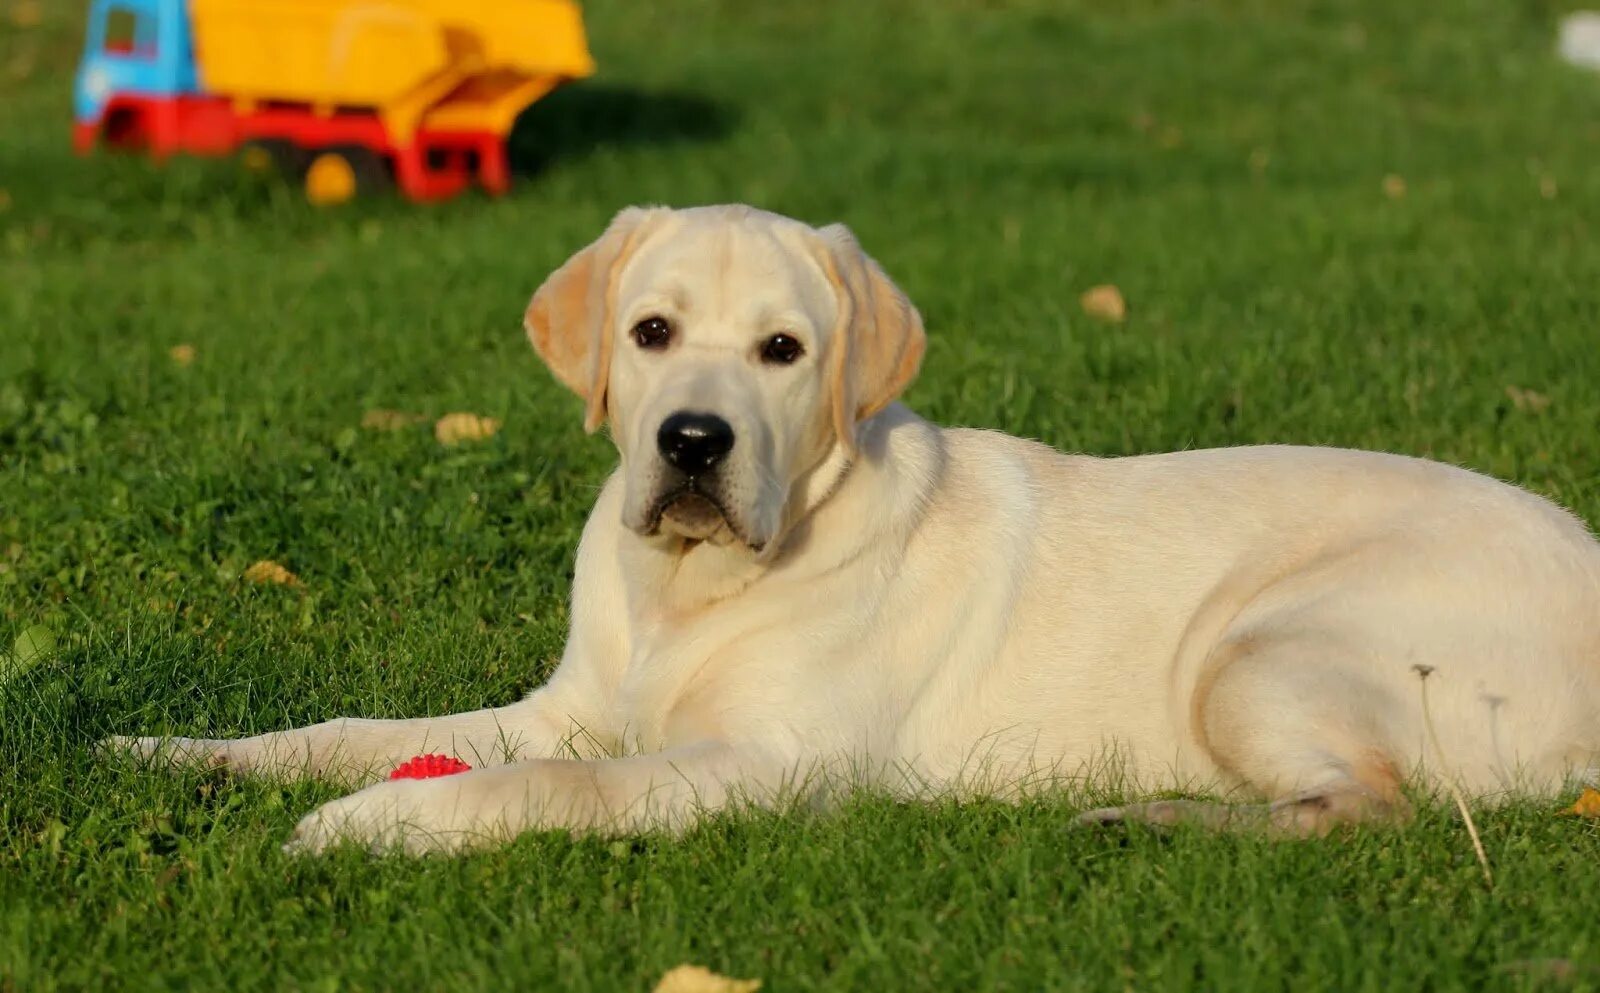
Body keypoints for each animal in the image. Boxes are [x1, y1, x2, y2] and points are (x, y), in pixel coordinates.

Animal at [109, 203, 1600, 850]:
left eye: (783, 351)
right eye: (650, 333)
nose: (692, 443)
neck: (690, 589)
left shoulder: (765, 765)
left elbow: (548, 790)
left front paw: (374, 826)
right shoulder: (567, 707)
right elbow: (358, 728)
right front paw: (183, 754)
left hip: (1258, 647)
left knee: (1373, 807)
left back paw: (1137, 817)